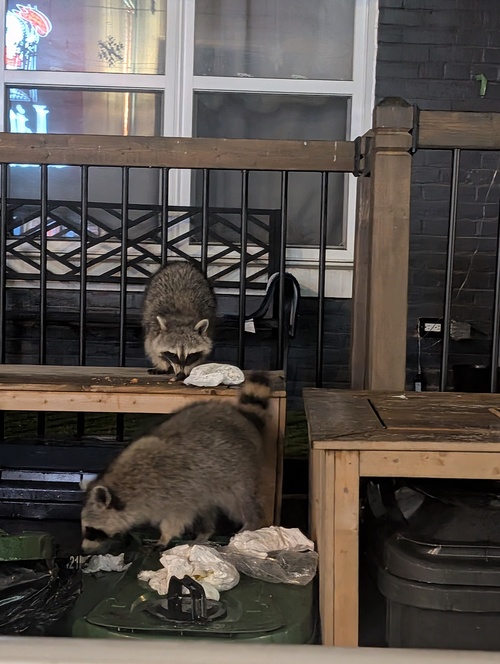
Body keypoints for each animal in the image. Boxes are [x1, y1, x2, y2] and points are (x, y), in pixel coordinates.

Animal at [80, 372, 271, 555]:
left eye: (91, 531)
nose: (83, 550)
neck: (125, 489)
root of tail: (242, 417)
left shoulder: (177, 493)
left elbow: (176, 518)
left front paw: (164, 537)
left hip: (237, 470)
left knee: (239, 500)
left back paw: (249, 523)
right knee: (207, 508)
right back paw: (204, 534)